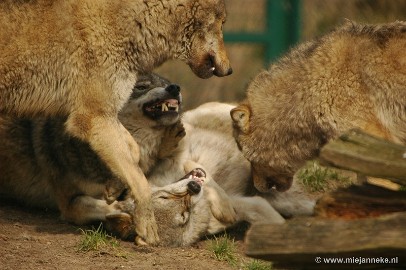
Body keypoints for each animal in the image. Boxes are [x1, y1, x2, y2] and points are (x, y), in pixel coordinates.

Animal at [0, 0, 232, 245]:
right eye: (221, 24)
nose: (229, 70)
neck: (128, 24)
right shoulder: (93, 118)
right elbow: (140, 181)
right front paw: (147, 226)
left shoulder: (104, 116)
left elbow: (132, 153)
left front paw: (115, 185)